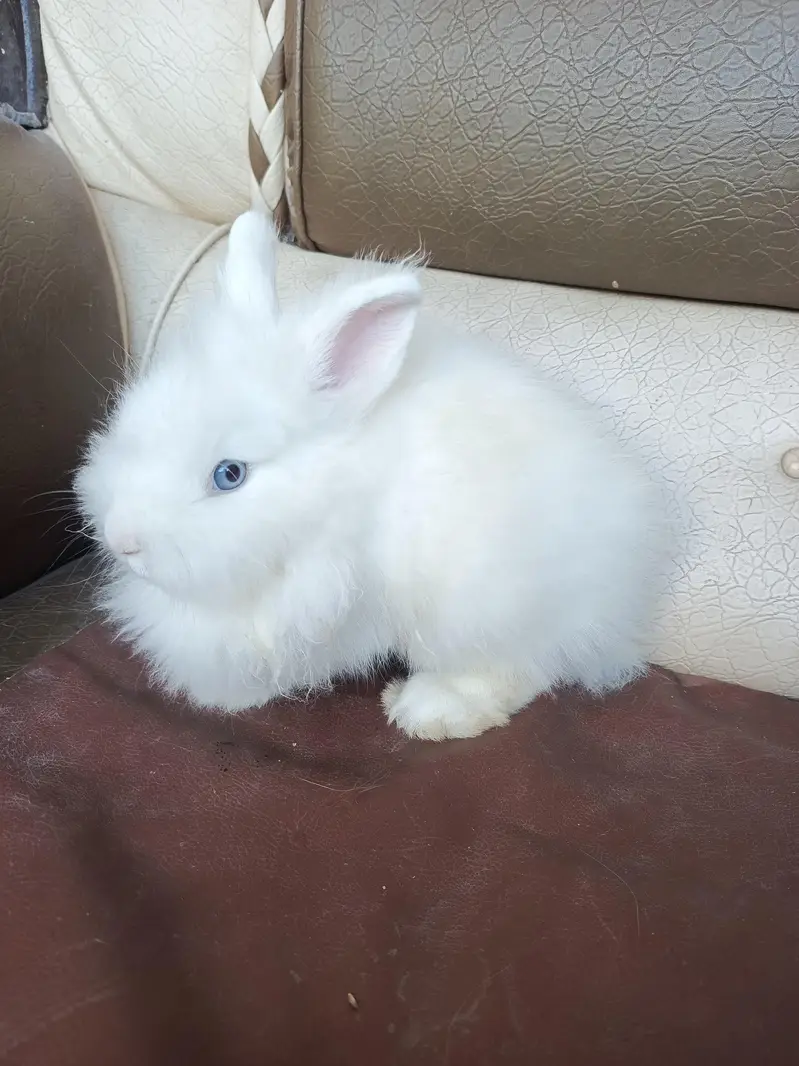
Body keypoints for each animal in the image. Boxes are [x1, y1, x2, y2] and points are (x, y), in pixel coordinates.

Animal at [75, 210, 662, 741]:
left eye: (229, 474)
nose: (122, 541)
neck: (332, 494)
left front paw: (224, 698)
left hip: (481, 607)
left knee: (522, 668)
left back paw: (427, 711)